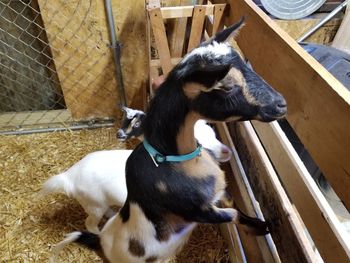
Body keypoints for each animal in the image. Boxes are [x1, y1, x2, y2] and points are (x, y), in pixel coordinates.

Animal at [52, 17, 288, 262]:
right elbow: (232, 214)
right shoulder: (199, 211)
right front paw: (261, 228)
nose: (281, 104)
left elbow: (233, 204)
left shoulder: (218, 194)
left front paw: (260, 224)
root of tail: (100, 244)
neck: (174, 160)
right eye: (227, 87)